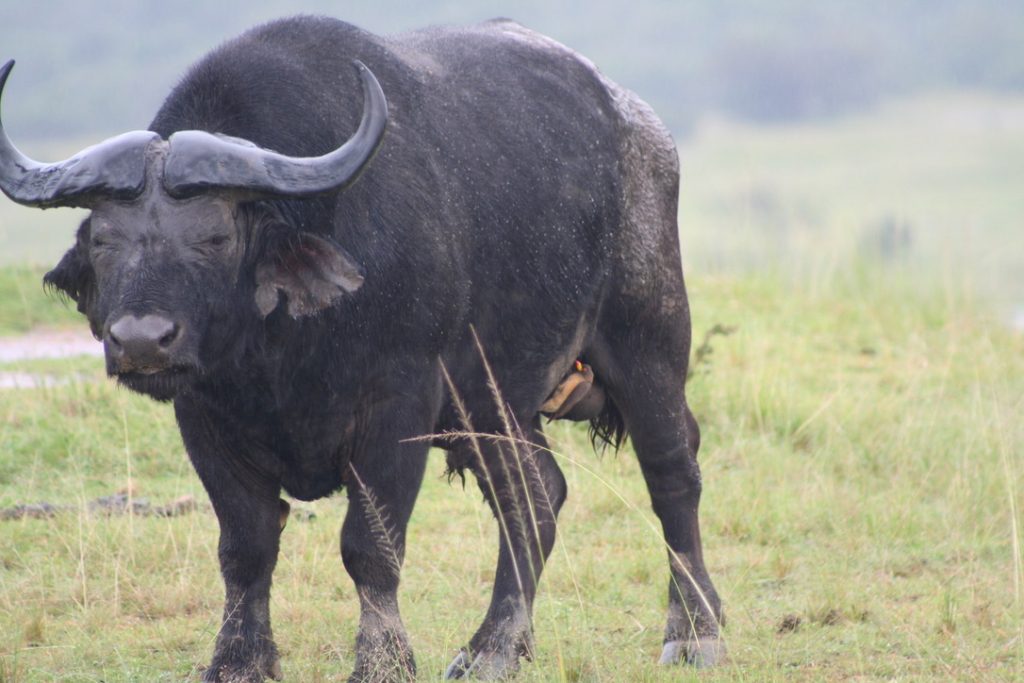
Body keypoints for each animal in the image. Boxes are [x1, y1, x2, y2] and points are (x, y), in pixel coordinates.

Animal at [0, 14, 724, 683]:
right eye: (103, 238)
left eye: (215, 236)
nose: (141, 340)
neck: (277, 357)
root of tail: (638, 126)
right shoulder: (203, 417)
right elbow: (245, 547)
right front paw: (237, 660)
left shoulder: (396, 408)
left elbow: (370, 546)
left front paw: (383, 660)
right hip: (494, 400)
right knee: (535, 495)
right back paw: (492, 647)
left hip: (648, 339)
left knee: (672, 474)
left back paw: (695, 632)